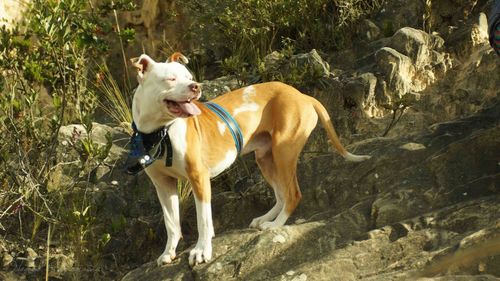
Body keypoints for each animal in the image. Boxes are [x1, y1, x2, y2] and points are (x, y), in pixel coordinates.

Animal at [131, 52, 370, 264]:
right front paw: (168, 253)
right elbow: (171, 223)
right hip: (265, 159)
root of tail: (302, 95)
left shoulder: (199, 178)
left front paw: (202, 251)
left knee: (293, 194)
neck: (160, 132)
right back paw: (266, 218)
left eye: (189, 77)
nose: (195, 86)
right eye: (170, 78)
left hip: (284, 152)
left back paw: (275, 225)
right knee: (281, 194)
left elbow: (203, 220)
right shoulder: (163, 185)